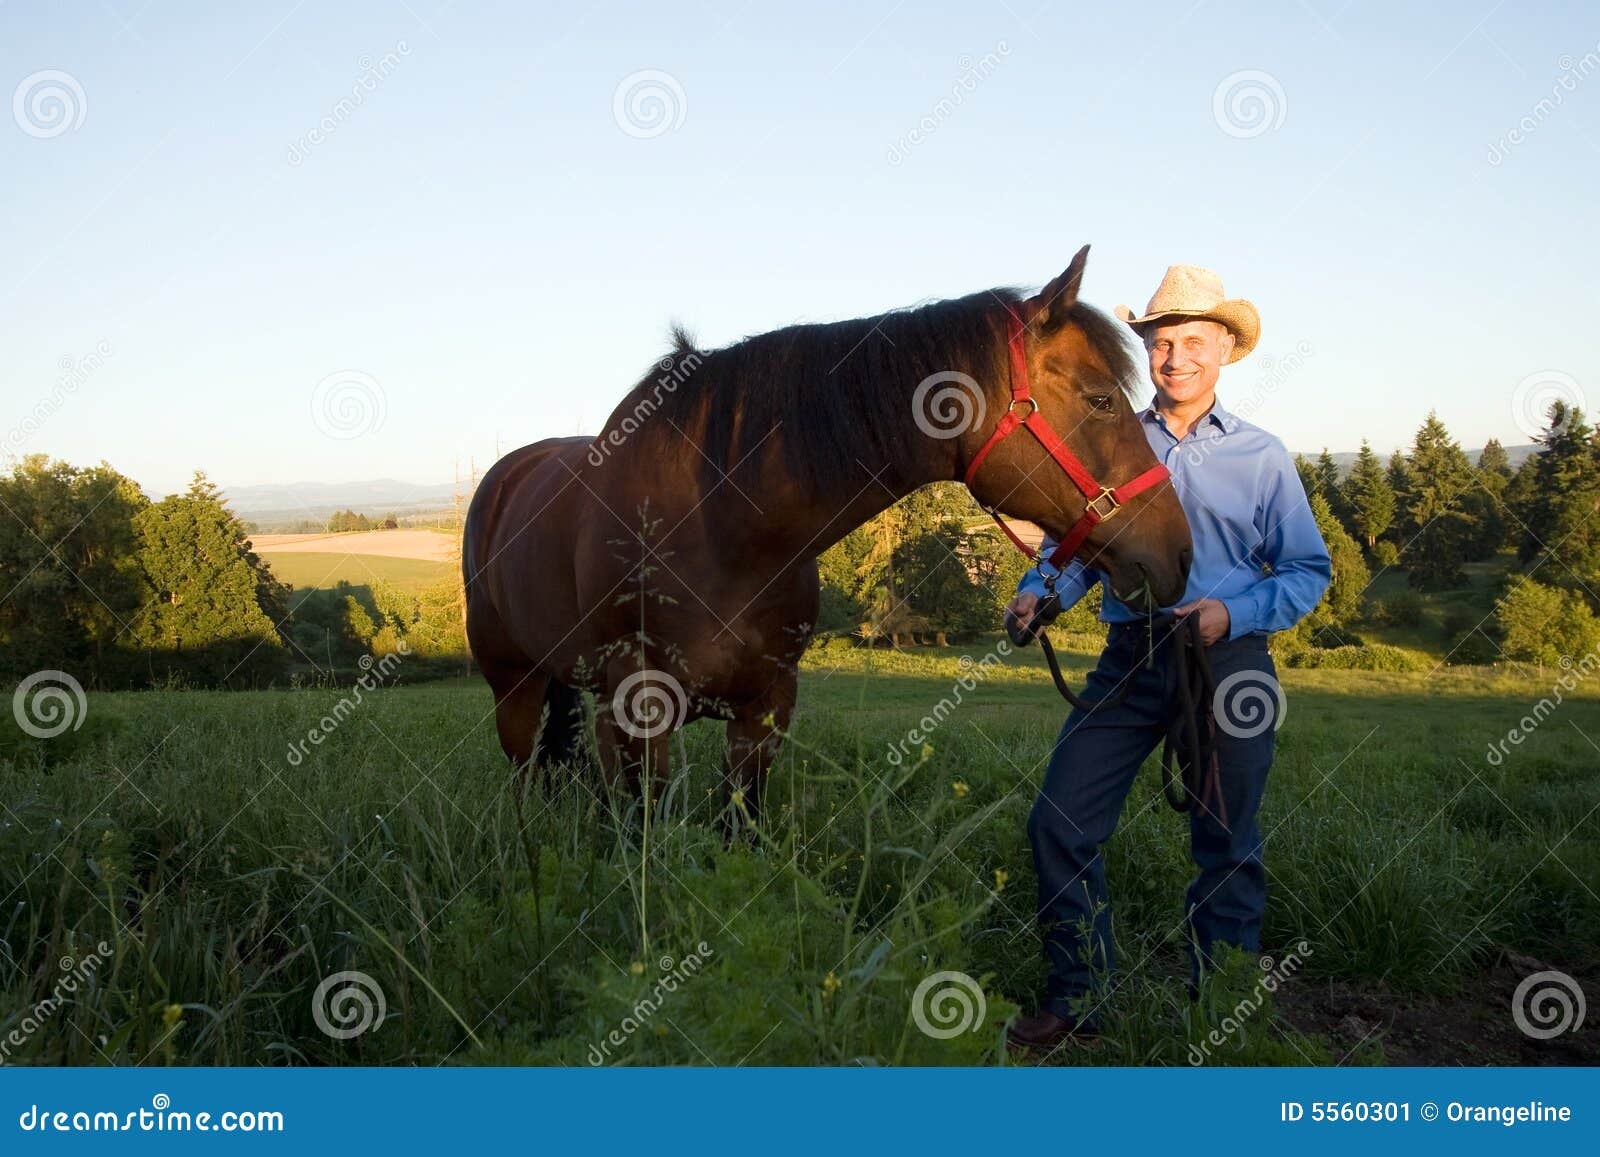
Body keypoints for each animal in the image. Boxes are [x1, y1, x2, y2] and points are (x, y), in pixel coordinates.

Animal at [463, 245, 1193, 821]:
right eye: (1101, 398)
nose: (1179, 553)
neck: (721, 525)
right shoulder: (639, 709)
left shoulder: (765, 710)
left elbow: (736, 825)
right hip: (516, 690)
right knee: (525, 776)